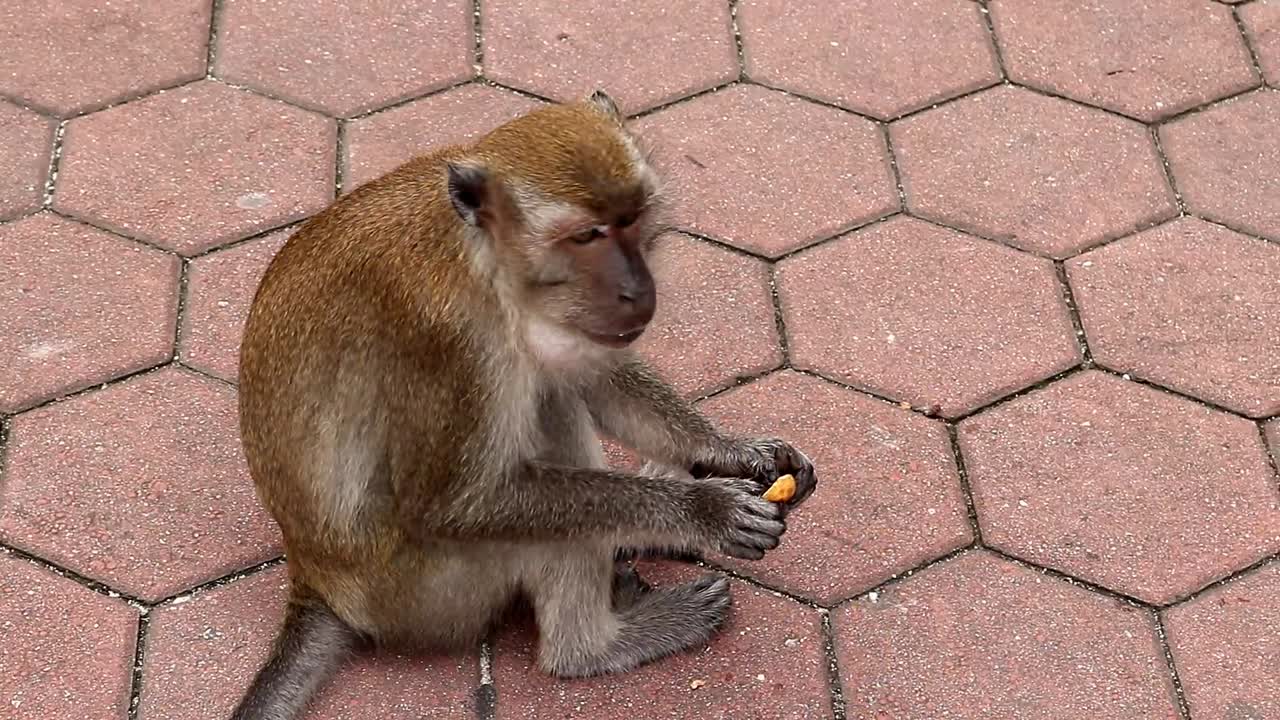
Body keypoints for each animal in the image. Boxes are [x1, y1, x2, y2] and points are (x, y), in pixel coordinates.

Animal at [230, 89, 818, 720]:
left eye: (633, 221)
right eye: (586, 236)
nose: (637, 289)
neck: (484, 260)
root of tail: (316, 578)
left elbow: (590, 374)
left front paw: (733, 453)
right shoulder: (451, 342)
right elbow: (455, 504)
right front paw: (703, 511)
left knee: (554, 393)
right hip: (429, 593)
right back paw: (595, 648)